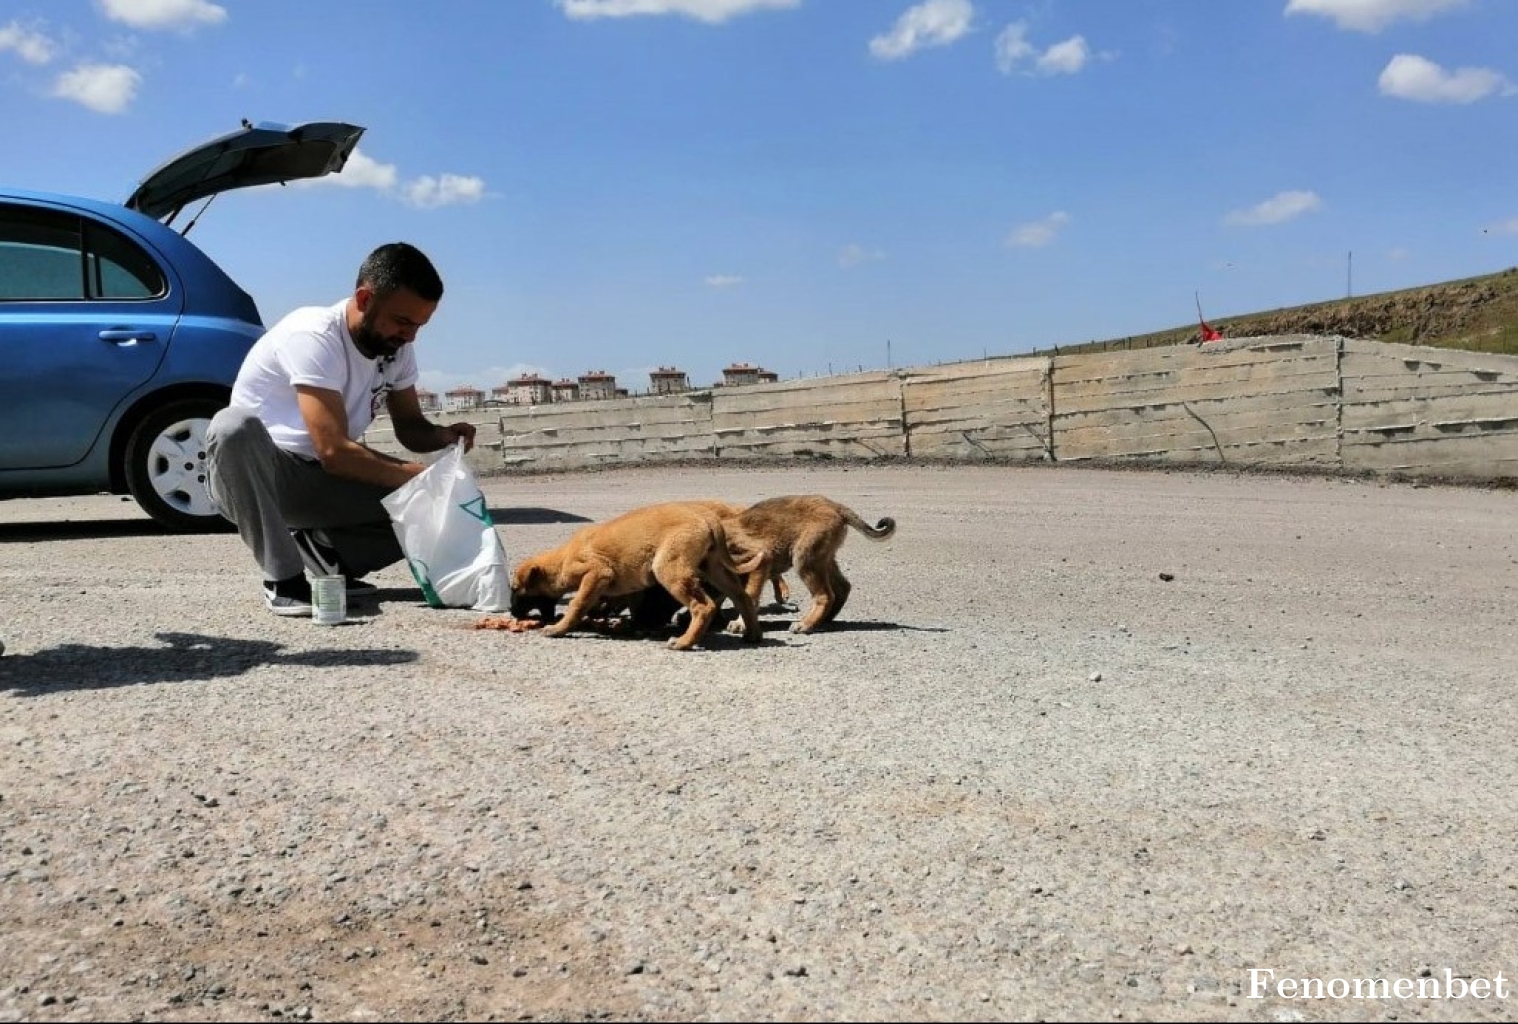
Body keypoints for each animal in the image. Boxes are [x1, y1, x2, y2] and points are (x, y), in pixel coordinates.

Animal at [510, 500, 765, 652]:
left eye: (515, 590)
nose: (511, 613)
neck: (562, 559)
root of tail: (707, 517)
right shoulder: (629, 587)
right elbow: (630, 606)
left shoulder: (596, 573)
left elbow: (577, 604)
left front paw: (559, 628)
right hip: (713, 568)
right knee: (742, 597)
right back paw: (753, 633)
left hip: (669, 568)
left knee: (703, 606)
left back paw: (684, 642)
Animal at [719, 494, 886, 634]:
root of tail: (836, 506)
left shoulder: (759, 558)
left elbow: (749, 597)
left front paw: (740, 623)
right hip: (823, 558)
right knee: (843, 587)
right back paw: (824, 619)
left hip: (804, 558)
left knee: (825, 595)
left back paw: (806, 624)